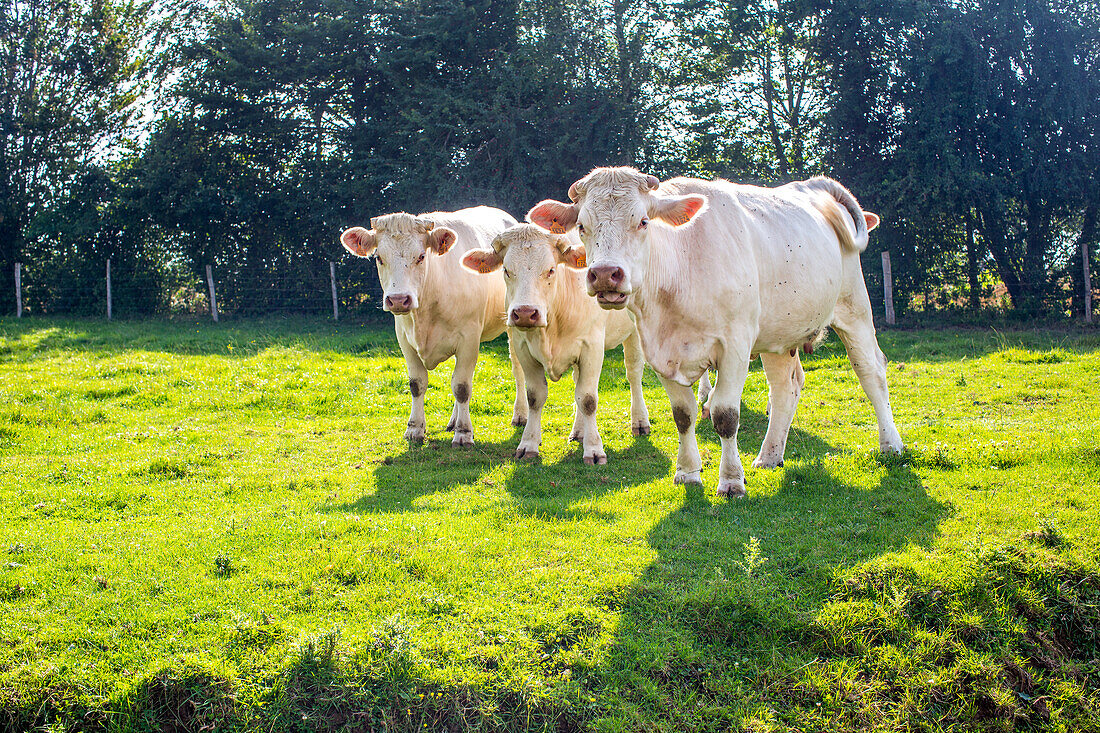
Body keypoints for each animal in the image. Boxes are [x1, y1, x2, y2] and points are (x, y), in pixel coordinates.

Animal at [341, 206, 525, 444]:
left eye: (421, 256)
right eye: (379, 257)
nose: (398, 300)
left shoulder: (468, 337)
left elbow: (462, 387)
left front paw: (464, 433)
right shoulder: (404, 339)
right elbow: (417, 384)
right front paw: (414, 428)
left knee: (517, 369)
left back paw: (520, 415)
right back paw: (453, 421)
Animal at [459, 221, 646, 462]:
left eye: (550, 270)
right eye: (506, 270)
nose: (525, 313)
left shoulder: (592, 348)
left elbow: (588, 399)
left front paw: (594, 449)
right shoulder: (523, 349)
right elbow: (535, 397)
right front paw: (529, 443)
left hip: (634, 333)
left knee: (633, 373)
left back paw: (640, 421)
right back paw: (578, 432)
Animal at [530, 166, 902, 497]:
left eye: (643, 221)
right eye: (582, 225)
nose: (606, 274)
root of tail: (812, 185)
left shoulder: (735, 346)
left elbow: (725, 415)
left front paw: (731, 481)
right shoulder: (660, 352)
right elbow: (682, 416)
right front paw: (688, 473)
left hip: (854, 307)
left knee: (872, 372)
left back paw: (891, 444)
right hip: (779, 335)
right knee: (786, 387)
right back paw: (770, 455)